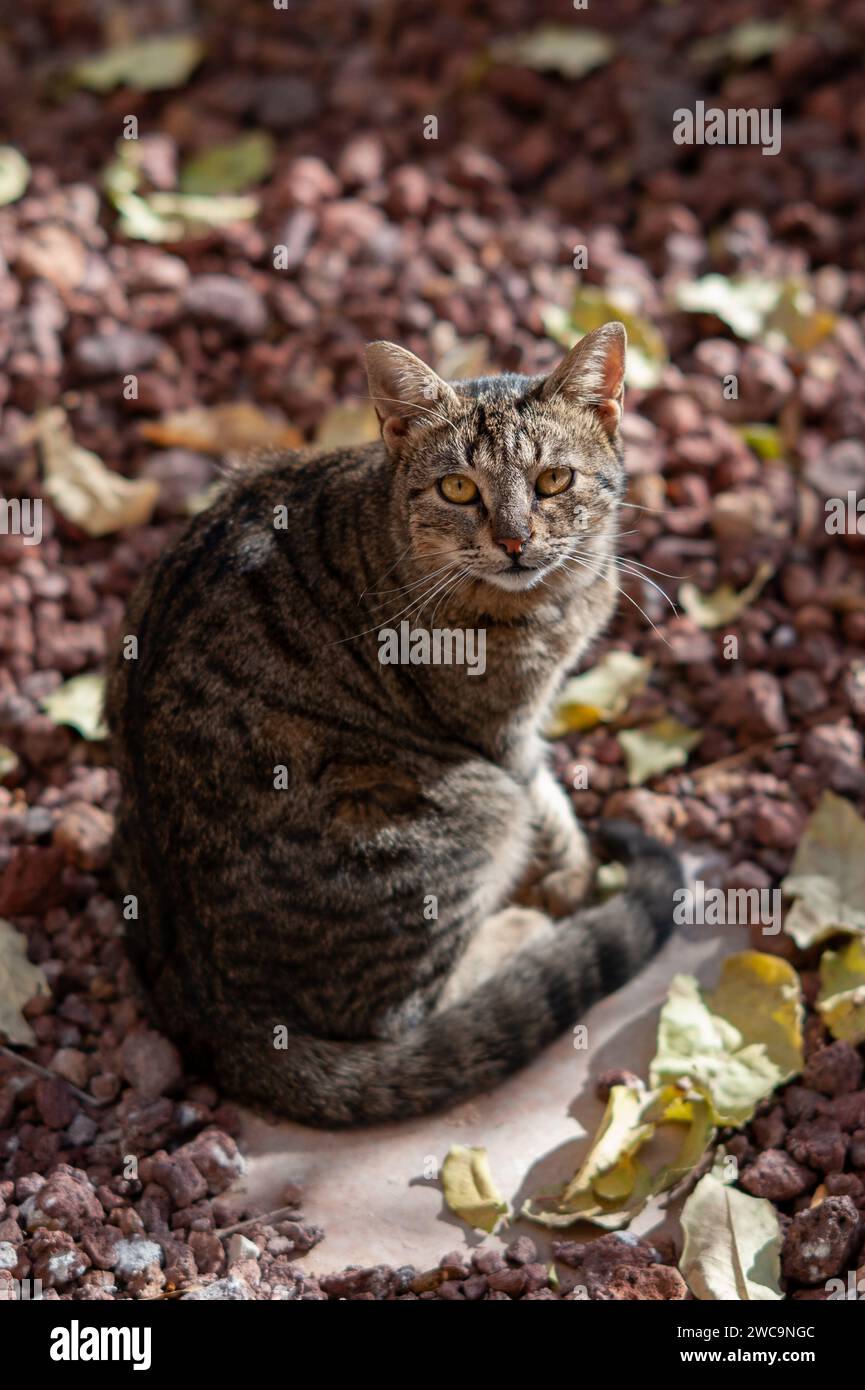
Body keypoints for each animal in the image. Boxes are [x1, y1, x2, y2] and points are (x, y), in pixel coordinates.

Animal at [107, 319, 684, 1123]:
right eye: (457, 488)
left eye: (553, 482)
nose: (514, 541)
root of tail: (208, 1008)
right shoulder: (502, 737)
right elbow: (545, 796)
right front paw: (573, 872)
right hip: (465, 810)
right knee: (407, 1013)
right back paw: (525, 927)